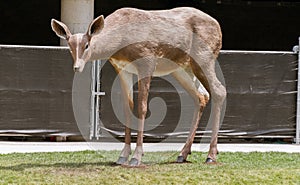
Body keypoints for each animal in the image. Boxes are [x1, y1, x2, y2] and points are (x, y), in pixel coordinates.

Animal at [51, 6, 225, 166]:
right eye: (70, 46)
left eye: (87, 45)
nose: (77, 67)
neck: (121, 40)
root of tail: (218, 27)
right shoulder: (122, 68)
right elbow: (127, 108)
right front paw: (122, 156)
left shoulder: (147, 61)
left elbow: (142, 107)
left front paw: (136, 157)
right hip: (182, 69)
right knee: (201, 96)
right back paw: (183, 154)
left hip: (204, 58)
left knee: (219, 91)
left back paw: (211, 155)